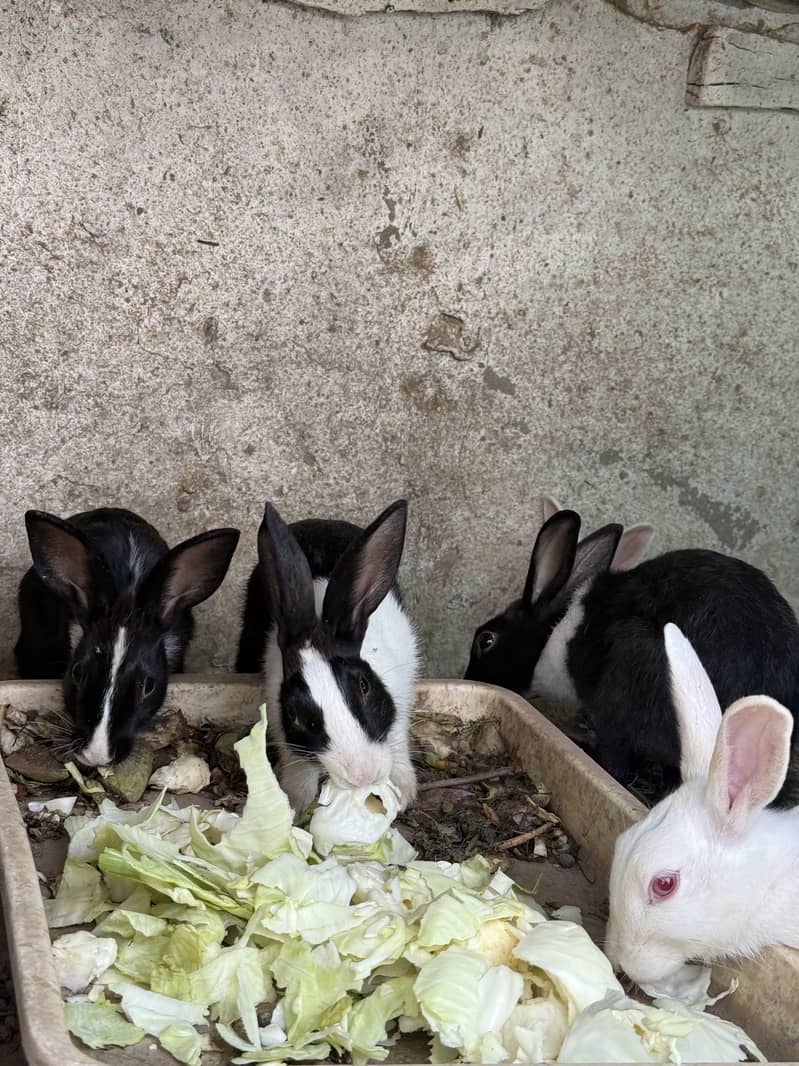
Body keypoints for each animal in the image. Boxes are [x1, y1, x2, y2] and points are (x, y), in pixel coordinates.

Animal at [235, 498, 419, 816]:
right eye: (295, 714)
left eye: (364, 686)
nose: (363, 775)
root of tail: (320, 521)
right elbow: (298, 761)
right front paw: (295, 800)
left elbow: (397, 738)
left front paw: (404, 792)